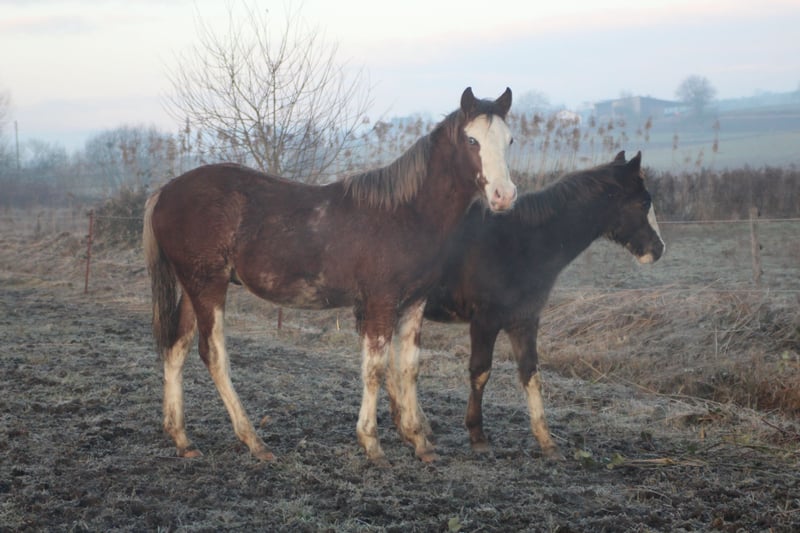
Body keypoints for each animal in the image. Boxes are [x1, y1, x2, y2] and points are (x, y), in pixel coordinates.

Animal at [142, 87, 518, 464]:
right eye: (472, 139)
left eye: (510, 139)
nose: (504, 195)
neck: (407, 213)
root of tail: (165, 192)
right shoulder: (380, 301)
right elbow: (375, 368)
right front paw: (372, 443)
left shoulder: (413, 303)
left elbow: (408, 368)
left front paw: (419, 441)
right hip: (209, 286)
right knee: (214, 355)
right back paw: (254, 441)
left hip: (194, 287)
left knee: (176, 347)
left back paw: (182, 439)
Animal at [423, 151, 664, 458]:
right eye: (644, 202)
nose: (658, 249)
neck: (521, 242)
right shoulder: (485, 321)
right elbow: (480, 372)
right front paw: (477, 435)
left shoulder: (524, 319)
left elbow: (530, 372)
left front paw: (546, 441)